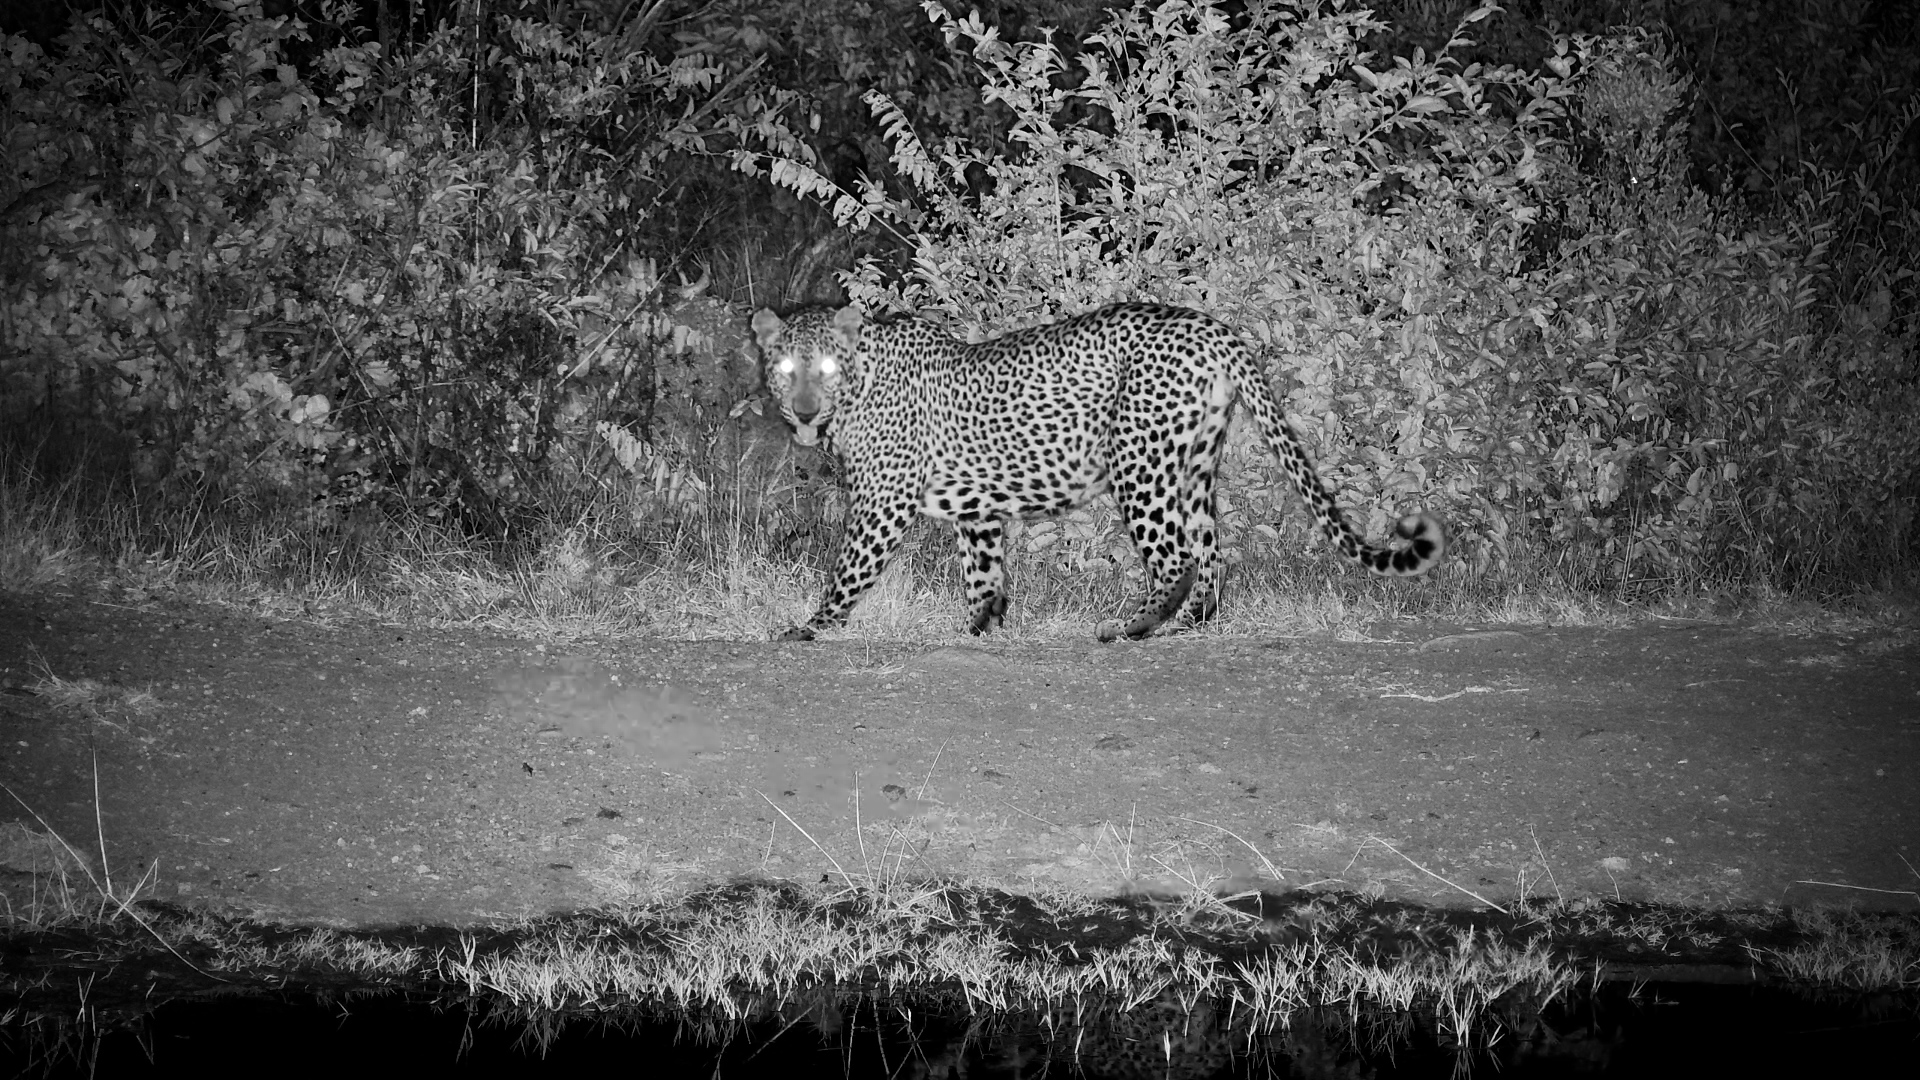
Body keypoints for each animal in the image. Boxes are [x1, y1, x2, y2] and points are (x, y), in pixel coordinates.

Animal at [751, 301, 1445, 642]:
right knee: (1210, 552)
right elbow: (983, 573)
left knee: (1175, 557)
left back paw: (1131, 626)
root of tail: (1213, 330)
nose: (804, 411)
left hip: (1139, 463)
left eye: (826, 369)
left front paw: (810, 628)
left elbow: (849, 570)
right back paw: (1187, 624)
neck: (858, 387)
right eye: (786, 370)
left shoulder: (881, 502)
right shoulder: (977, 509)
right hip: (1194, 463)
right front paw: (981, 627)